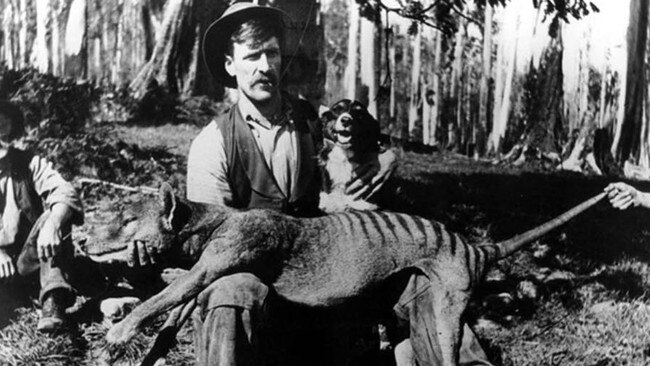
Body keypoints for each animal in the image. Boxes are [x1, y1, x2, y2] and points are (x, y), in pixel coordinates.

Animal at [101, 184, 604, 364]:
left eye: (126, 220)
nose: (87, 237)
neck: (214, 221)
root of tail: (474, 247)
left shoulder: (223, 257)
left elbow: (161, 298)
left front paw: (122, 330)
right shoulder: (202, 268)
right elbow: (172, 299)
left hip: (449, 311)